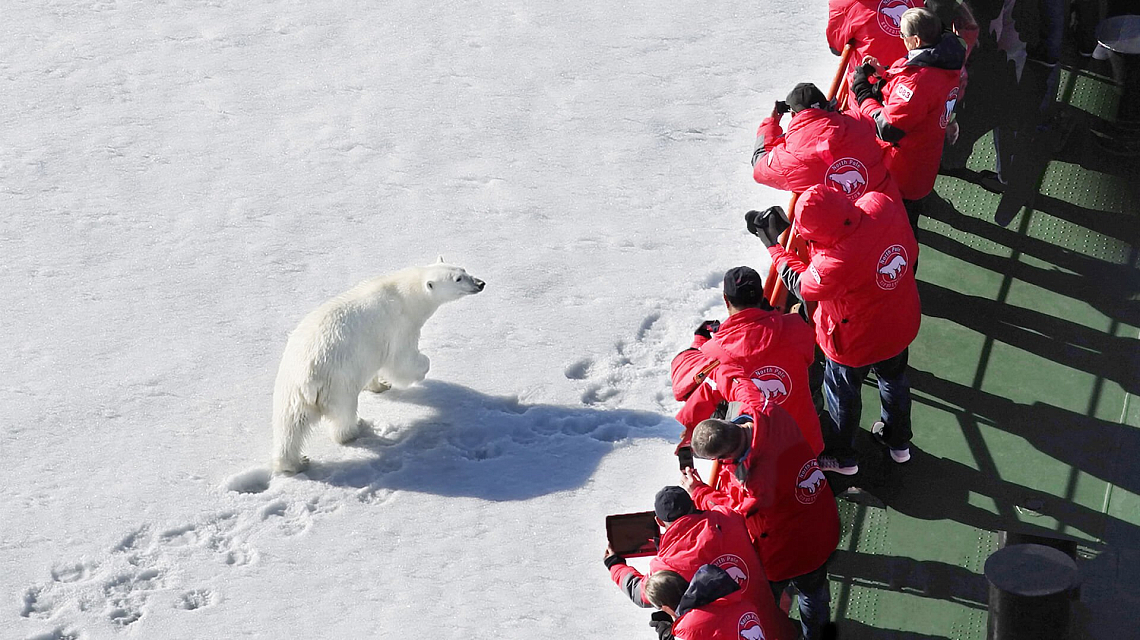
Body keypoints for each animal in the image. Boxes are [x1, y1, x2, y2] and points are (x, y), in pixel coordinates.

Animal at [271, 256, 485, 472]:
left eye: (463, 270)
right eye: (458, 279)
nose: (480, 283)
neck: (404, 293)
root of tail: (309, 377)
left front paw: (381, 385)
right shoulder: (400, 325)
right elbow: (401, 361)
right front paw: (422, 367)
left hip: (291, 391)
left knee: (290, 425)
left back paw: (296, 463)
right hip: (338, 383)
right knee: (343, 414)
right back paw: (357, 428)